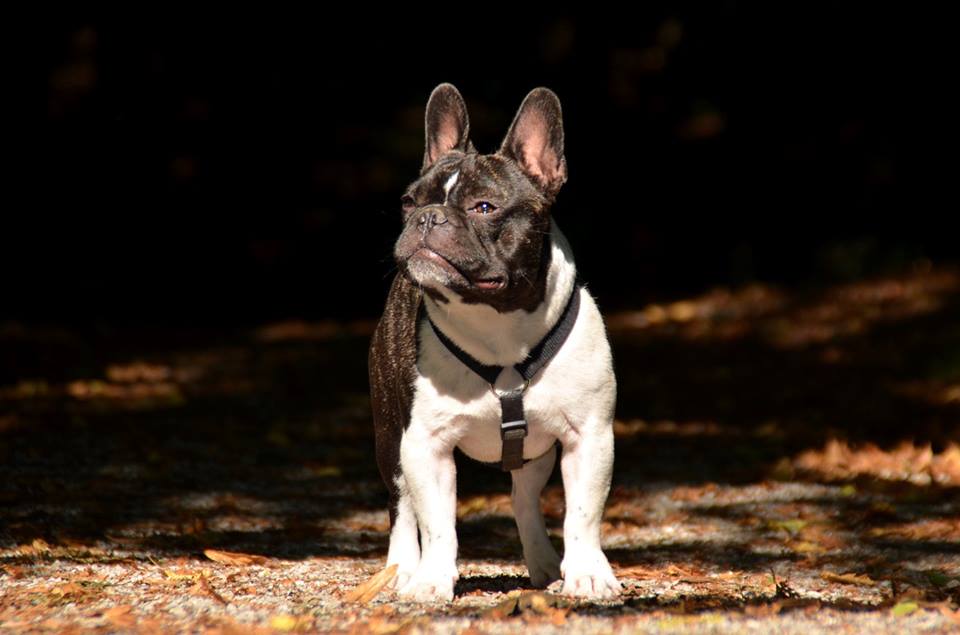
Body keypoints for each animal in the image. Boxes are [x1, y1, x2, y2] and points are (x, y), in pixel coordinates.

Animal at [368, 83, 624, 600]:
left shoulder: (589, 437)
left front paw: (587, 572)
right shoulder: (424, 445)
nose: (427, 217)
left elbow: (583, 516)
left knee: (524, 500)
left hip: (535, 453)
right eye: (408, 202)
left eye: (483, 207)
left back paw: (545, 563)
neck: (495, 323)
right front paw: (431, 580)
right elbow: (438, 523)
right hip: (390, 437)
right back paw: (401, 568)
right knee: (401, 506)